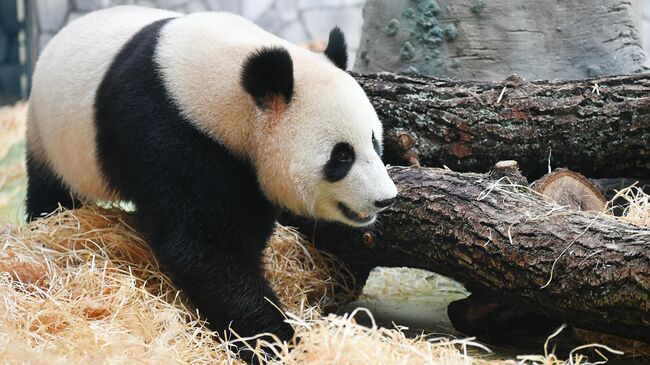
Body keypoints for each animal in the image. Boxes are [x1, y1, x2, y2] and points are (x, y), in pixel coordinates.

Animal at [25, 4, 398, 360]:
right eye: (341, 156)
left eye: (374, 142)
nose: (385, 199)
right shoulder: (166, 128)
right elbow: (204, 247)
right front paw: (275, 341)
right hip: (50, 134)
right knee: (49, 190)